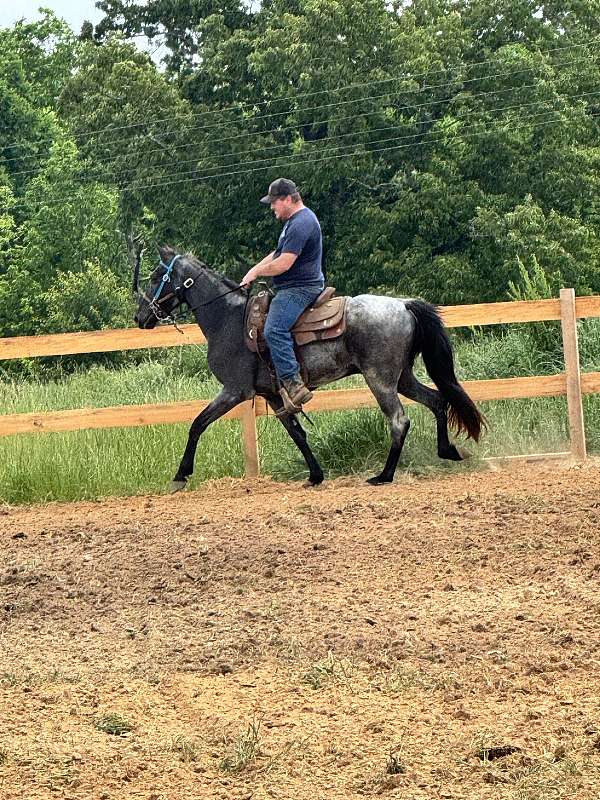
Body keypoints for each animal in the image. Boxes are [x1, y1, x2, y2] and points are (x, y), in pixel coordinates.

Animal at [135, 245, 482, 488]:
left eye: (154, 278)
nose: (140, 317)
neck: (228, 320)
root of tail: (403, 304)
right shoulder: (273, 395)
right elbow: (297, 433)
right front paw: (315, 475)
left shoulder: (235, 391)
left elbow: (197, 424)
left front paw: (181, 475)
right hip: (402, 377)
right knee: (437, 401)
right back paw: (448, 451)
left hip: (380, 379)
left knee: (399, 420)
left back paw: (384, 475)